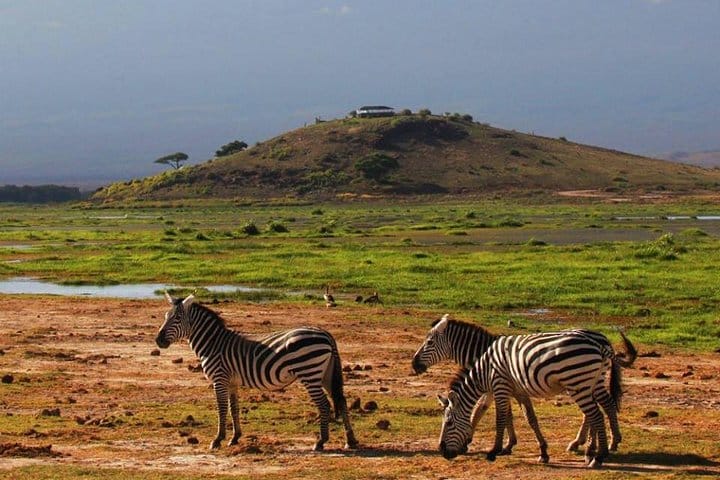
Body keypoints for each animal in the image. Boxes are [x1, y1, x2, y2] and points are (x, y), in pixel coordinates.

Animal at [155, 293, 358, 451]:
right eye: (165, 316)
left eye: (176, 318)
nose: (158, 340)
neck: (213, 344)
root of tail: (326, 334)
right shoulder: (232, 382)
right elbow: (233, 408)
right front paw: (235, 438)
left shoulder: (219, 379)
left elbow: (221, 409)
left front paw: (217, 440)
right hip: (325, 374)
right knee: (341, 400)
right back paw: (350, 441)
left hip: (310, 373)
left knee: (324, 404)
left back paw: (321, 442)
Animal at [412, 314, 636, 453]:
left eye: (429, 343)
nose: (414, 364)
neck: (482, 352)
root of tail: (602, 339)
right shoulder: (504, 387)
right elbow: (507, 414)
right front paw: (509, 443)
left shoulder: (495, 386)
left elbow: (482, 411)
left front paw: (471, 441)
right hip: (592, 380)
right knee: (603, 406)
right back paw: (599, 442)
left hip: (583, 380)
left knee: (596, 409)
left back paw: (593, 444)